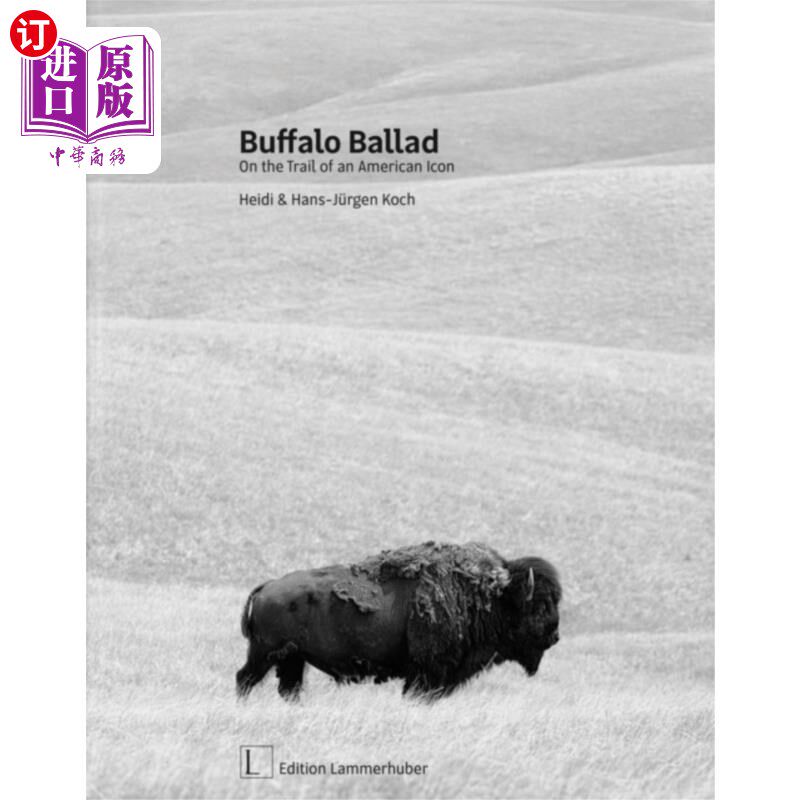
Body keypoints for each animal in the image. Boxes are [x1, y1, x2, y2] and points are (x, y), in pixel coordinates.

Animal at [236, 541, 561, 701]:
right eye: (540, 604)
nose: (554, 635)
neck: (490, 596)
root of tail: (267, 587)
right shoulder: (425, 673)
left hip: (292, 658)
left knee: (287, 688)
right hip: (264, 654)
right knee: (244, 679)